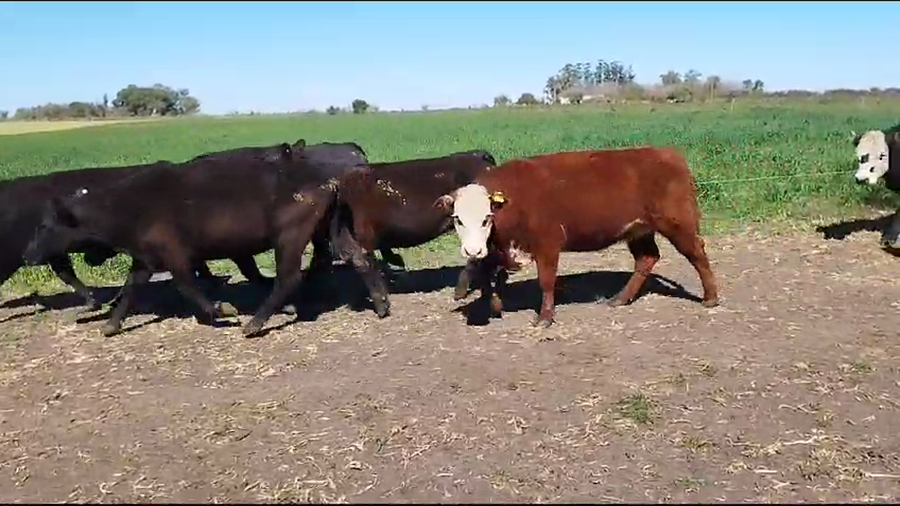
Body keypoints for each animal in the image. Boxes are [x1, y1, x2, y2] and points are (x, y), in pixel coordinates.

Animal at [22, 156, 387, 337]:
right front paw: (111, 325)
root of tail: (330, 179)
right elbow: (130, 288)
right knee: (359, 258)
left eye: (44, 226)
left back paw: (255, 323)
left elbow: (187, 285)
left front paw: (222, 310)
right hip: (330, 230)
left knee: (288, 278)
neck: (128, 206)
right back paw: (381, 305)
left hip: (289, 237)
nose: (27, 254)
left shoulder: (175, 255)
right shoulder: (146, 258)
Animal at [433, 147, 720, 327]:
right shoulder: (498, 248)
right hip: (638, 230)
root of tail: (666, 153)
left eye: (486, 218)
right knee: (647, 259)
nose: (472, 250)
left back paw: (711, 298)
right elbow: (485, 276)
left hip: (678, 224)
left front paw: (545, 318)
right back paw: (619, 299)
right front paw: (494, 306)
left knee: (697, 253)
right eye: (457, 218)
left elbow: (546, 282)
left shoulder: (547, 243)